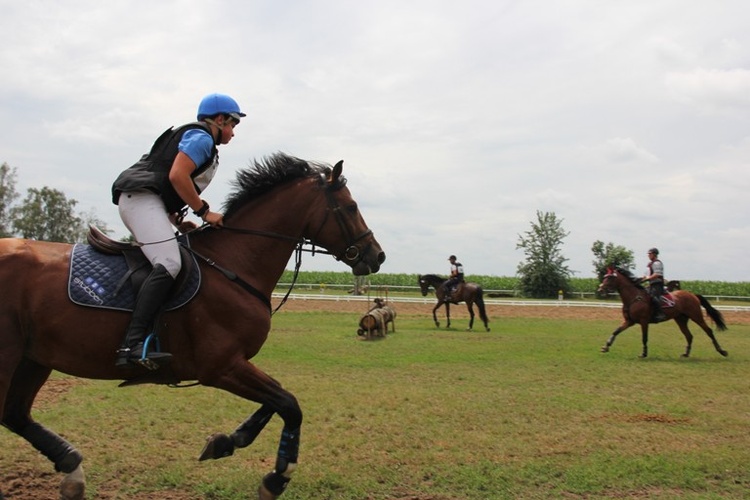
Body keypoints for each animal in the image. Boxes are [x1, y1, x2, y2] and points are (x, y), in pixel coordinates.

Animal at [0, 153, 388, 500]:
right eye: (351, 207)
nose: (377, 255)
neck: (233, 264)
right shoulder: (221, 367)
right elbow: (289, 404)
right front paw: (277, 478)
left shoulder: (234, 364)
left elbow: (276, 399)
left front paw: (226, 442)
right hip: (13, 355)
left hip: (35, 358)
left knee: (15, 414)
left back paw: (72, 470)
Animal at [600, 268, 728, 358]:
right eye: (605, 277)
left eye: (610, 278)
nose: (600, 289)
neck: (634, 298)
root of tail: (692, 295)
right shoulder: (629, 321)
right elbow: (616, 331)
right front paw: (606, 347)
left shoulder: (643, 322)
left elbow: (644, 338)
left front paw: (643, 354)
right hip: (681, 320)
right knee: (689, 335)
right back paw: (686, 354)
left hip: (696, 316)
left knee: (708, 331)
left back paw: (722, 351)